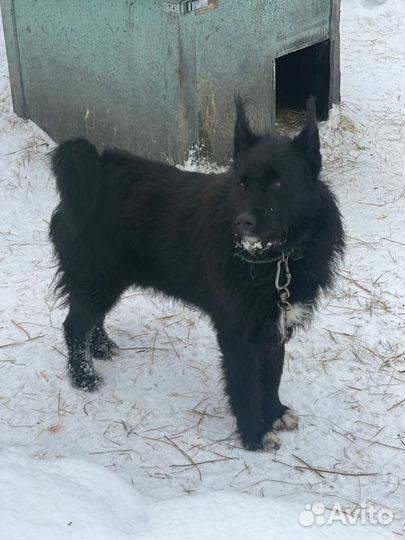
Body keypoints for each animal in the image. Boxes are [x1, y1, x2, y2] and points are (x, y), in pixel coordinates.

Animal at [49, 98, 342, 452]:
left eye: (278, 183)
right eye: (242, 182)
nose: (242, 222)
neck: (276, 260)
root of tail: (98, 167)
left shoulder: (275, 324)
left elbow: (272, 375)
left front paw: (273, 412)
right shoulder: (237, 332)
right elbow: (246, 385)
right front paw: (253, 434)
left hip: (107, 282)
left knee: (92, 319)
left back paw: (101, 348)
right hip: (98, 278)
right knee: (74, 326)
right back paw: (83, 376)